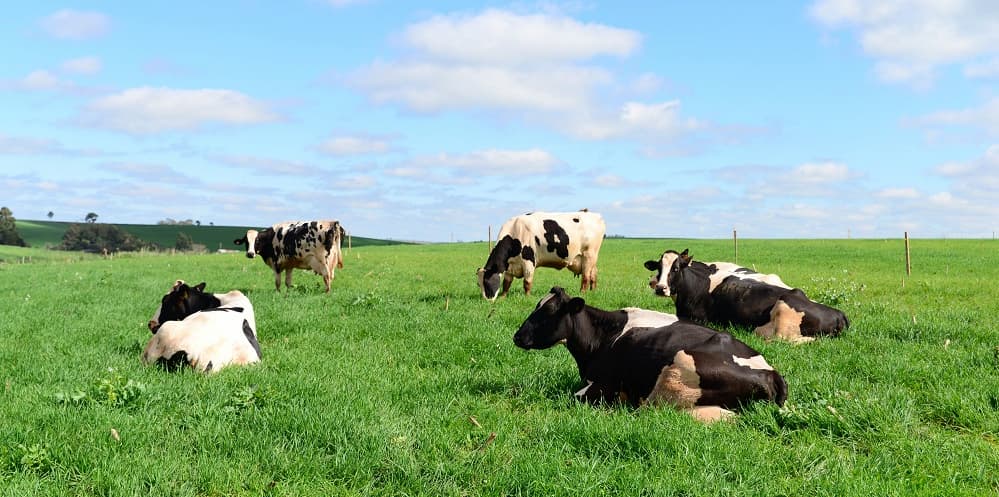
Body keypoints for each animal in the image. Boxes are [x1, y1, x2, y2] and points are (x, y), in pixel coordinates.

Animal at [478, 210, 608, 300]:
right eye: (478, 284)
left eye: (486, 282)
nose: (487, 300)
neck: (515, 231)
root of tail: (596, 215)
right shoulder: (510, 265)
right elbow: (506, 283)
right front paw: (503, 297)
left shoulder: (528, 261)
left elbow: (527, 282)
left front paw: (527, 297)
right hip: (590, 258)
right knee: (593, 274)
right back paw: (593, 291)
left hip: (589, 255)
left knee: (586, 277)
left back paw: (582, 293)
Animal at [516, 284, 788, 420]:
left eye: (548, 312)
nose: (516, 336)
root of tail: (772, 373)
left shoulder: (604, 385)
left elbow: (575, 396)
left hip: (673, 377)